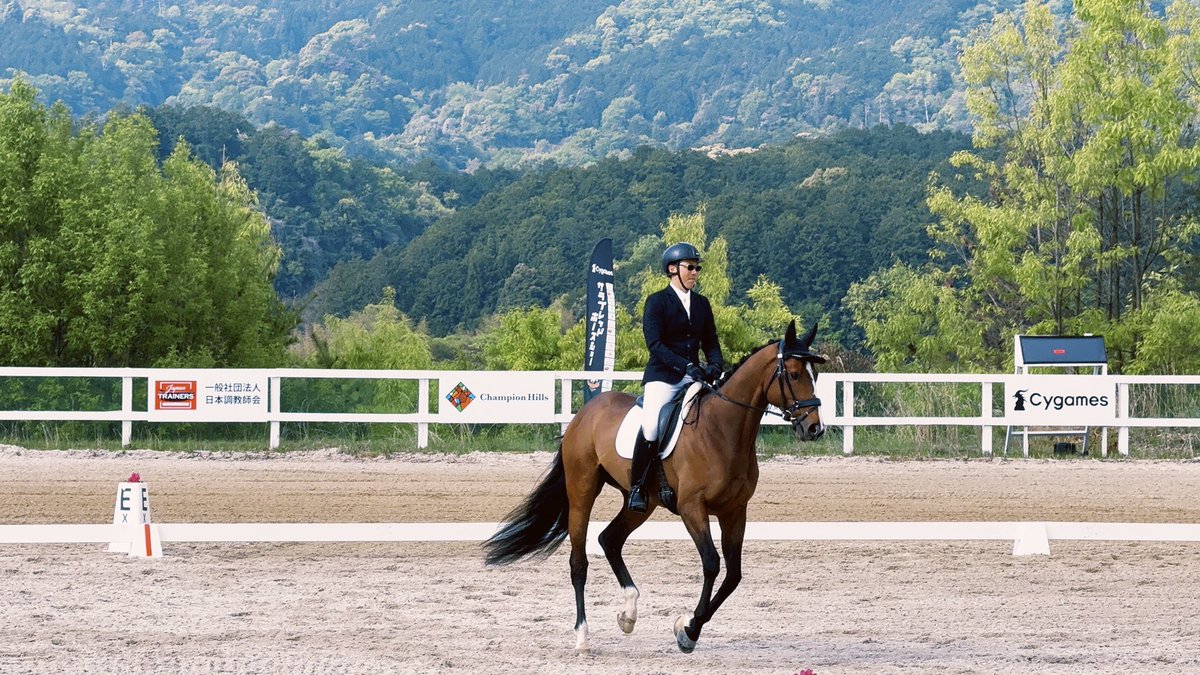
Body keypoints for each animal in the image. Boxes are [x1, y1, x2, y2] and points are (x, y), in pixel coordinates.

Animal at [483, 320, 825, 654]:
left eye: (816, 375)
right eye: (794, 374)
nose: (814, 429)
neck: (723, 431)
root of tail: (585, 413)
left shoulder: (734, 511)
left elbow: (733, 575)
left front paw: (687, 627)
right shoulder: (692, 508)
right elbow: (712, 564)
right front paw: (688, 631)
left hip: (641, 503)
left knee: (609, 539)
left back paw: (628, 614)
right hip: (582, 490)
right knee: (579, 561)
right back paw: (582, 638)